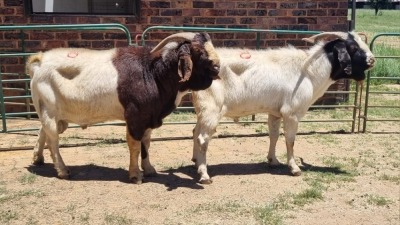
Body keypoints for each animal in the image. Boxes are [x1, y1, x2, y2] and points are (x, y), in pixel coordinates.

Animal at [192, 31, 376, 183]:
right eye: (353, 47)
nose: (372, 60)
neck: (308, 71)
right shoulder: (291, 113)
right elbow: (290, 140)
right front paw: (294, 168)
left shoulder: (275, 113)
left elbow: (273, 136)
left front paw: (273, 161)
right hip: (212, 110)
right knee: (203, 139)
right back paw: (204, 175)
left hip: (203, 111)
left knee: (195, 132)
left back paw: (195, 162)